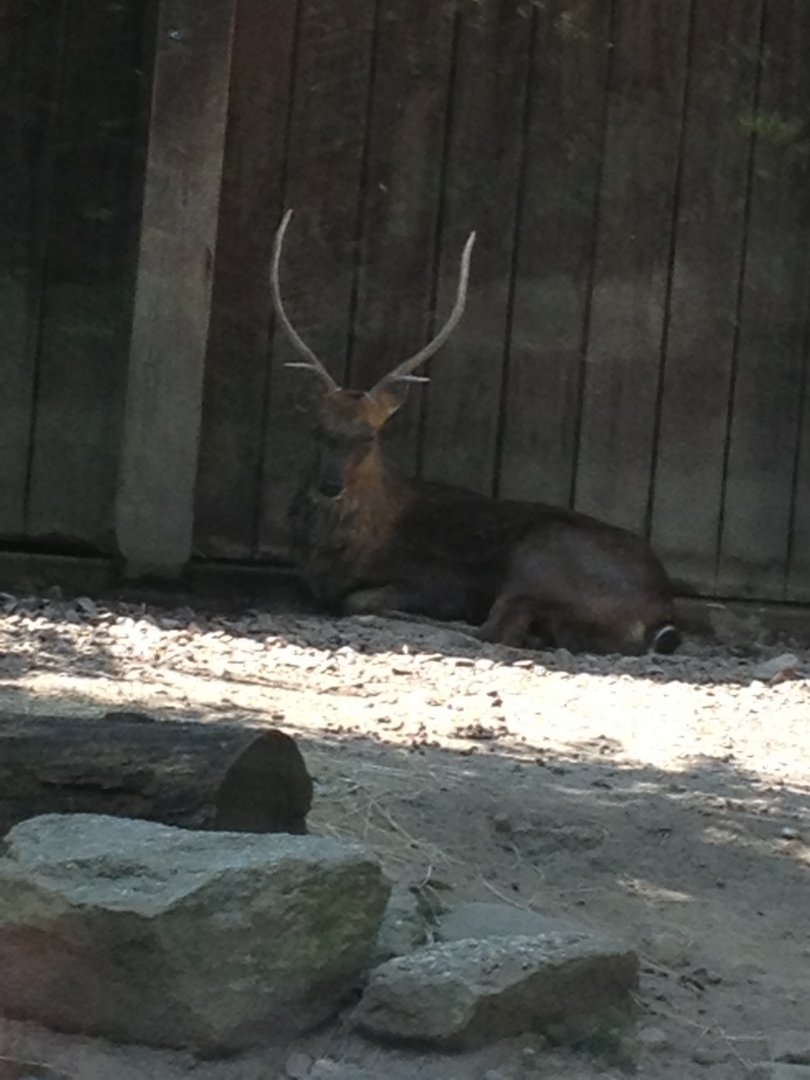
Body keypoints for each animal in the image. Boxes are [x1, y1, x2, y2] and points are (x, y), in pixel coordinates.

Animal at [271, 210, 680, 656]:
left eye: (369, 436)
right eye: (317, 428)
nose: (330, 485)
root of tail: (658, 619)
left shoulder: (438, 579)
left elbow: (357, 599)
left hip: (542, 555)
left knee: (496, 631)